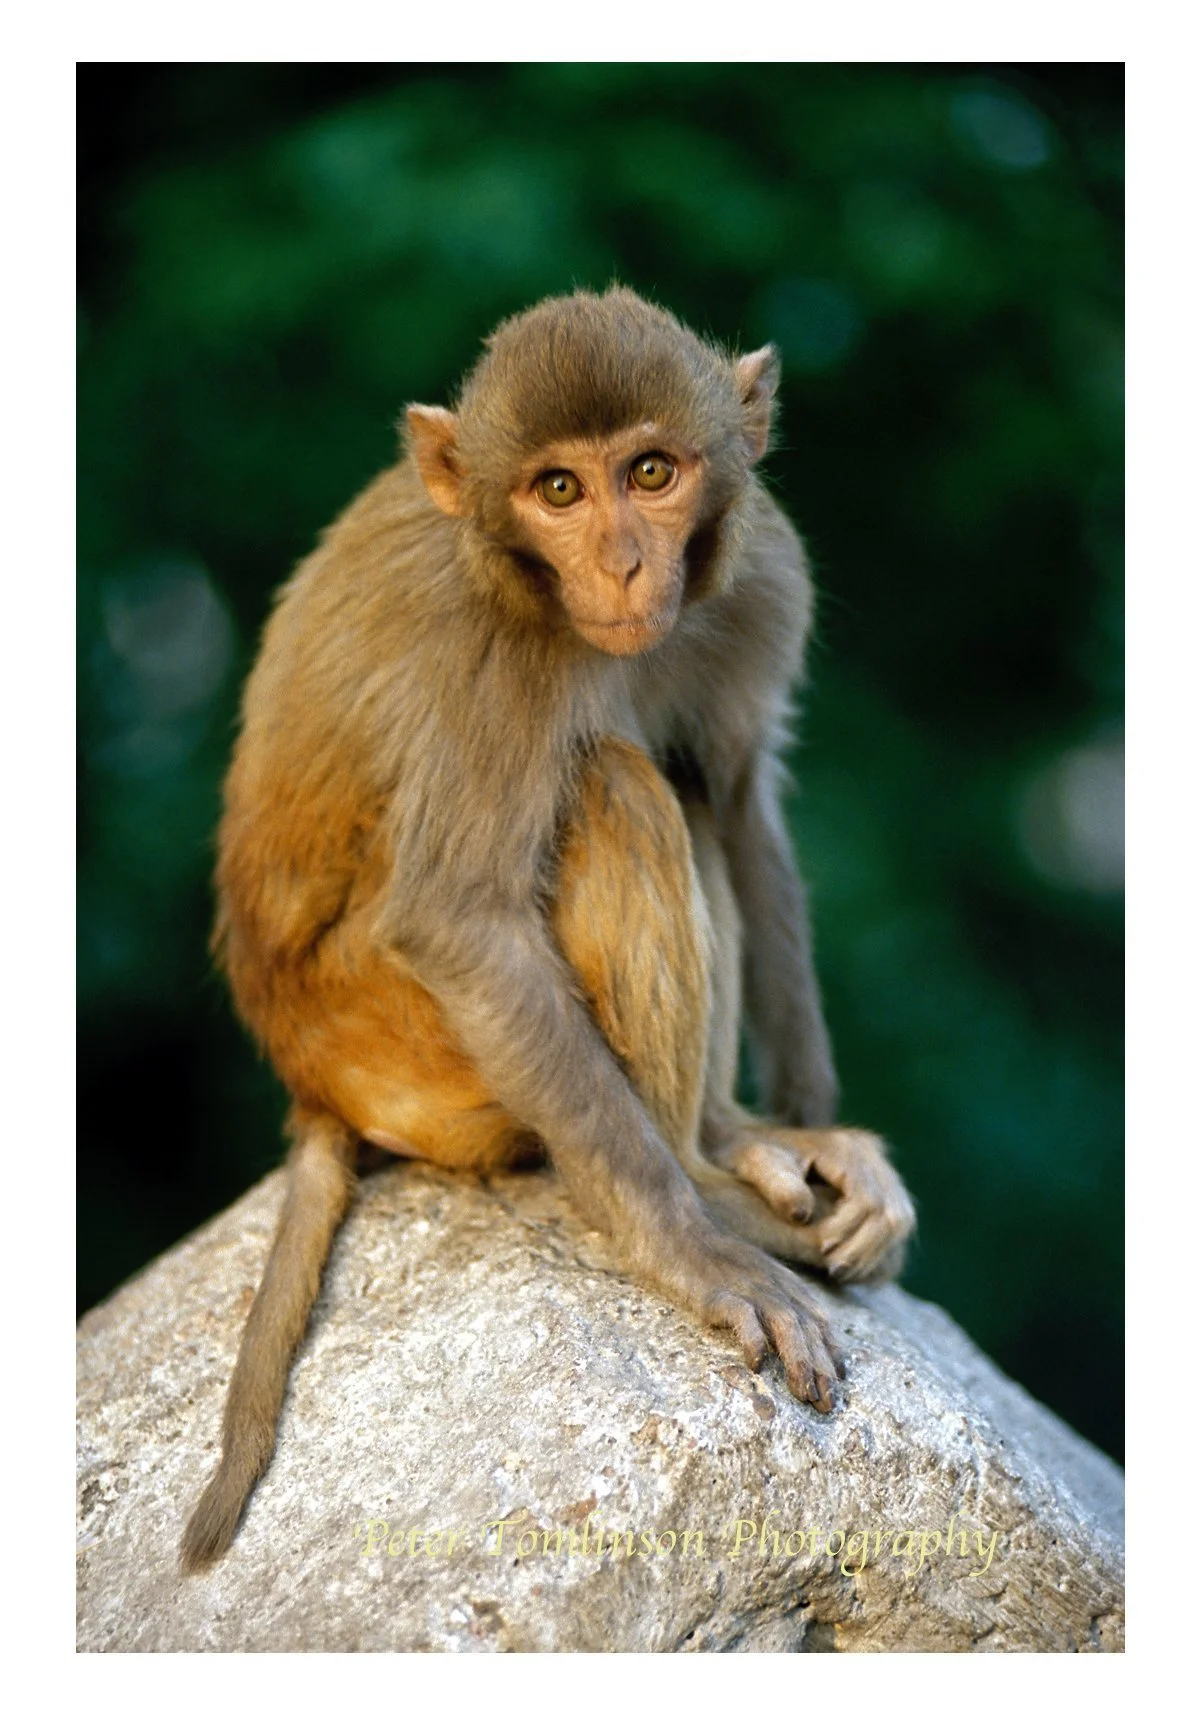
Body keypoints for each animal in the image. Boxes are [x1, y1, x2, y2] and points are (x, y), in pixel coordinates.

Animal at [180, 286, 915, 1574]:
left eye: (652, 472)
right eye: (557, 491)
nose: (622, 562)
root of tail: (308, 1080)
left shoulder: (763, 576)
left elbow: (740, 799)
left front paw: (811, 1126)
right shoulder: (495, 656)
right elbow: (461, 919)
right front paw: (694, 1251)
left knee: (676, 784)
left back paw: (735, 1141)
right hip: (402, 1046)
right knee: (613, 786)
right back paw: (711, 1192)